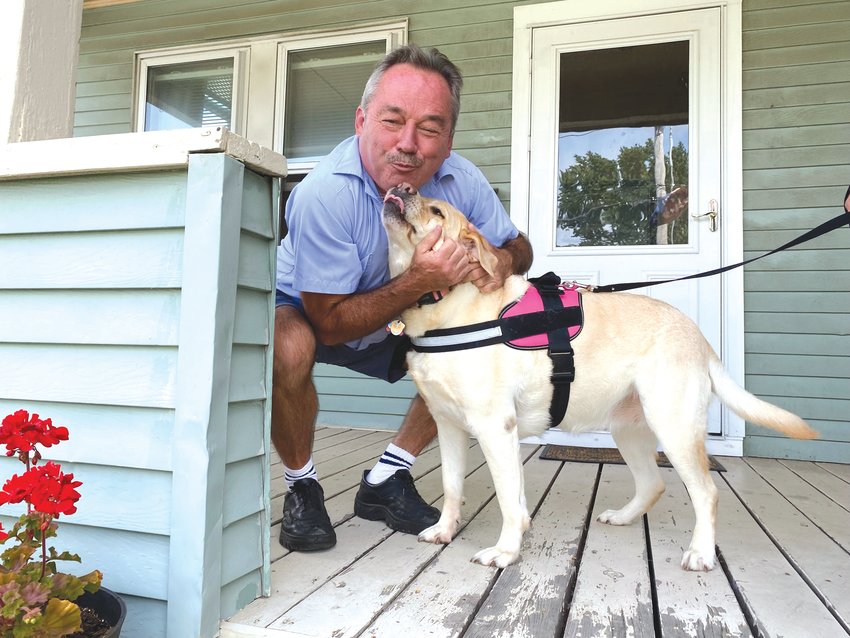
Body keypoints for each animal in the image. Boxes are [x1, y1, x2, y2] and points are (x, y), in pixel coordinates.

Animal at [382, 182, 816, 572]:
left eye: (437, 212)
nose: (401, 187)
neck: (443, 307)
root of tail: (698, 336)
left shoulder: (494, 427)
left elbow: (507, 498)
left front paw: (505, 551)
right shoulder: (449, 425)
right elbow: (454, 486)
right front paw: (445, 530)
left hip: (673, 426)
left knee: (707, 493)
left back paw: (701, 554)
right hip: (629, 429)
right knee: (653, 484)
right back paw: (624, 517)